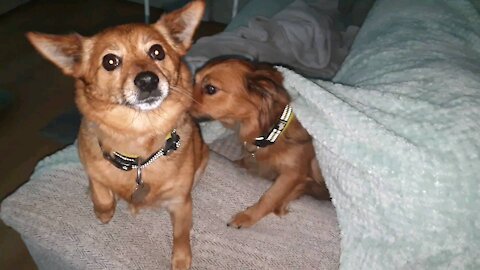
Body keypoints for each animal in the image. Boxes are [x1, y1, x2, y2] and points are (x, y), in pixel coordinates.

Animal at [26, 1, 208, 268]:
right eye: (110, 61)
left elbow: (181, 234)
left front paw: (181, 259)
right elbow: (100, 188)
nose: (147, 80)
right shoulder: (91, 165)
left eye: (157, 52)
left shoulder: (180, 203)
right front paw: (103, 209)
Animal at [191, 58, 330, 228]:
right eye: (194, 80)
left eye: (210, 89)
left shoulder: (293, 173)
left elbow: (270, 197)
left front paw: (247, 217)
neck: (274, 129)